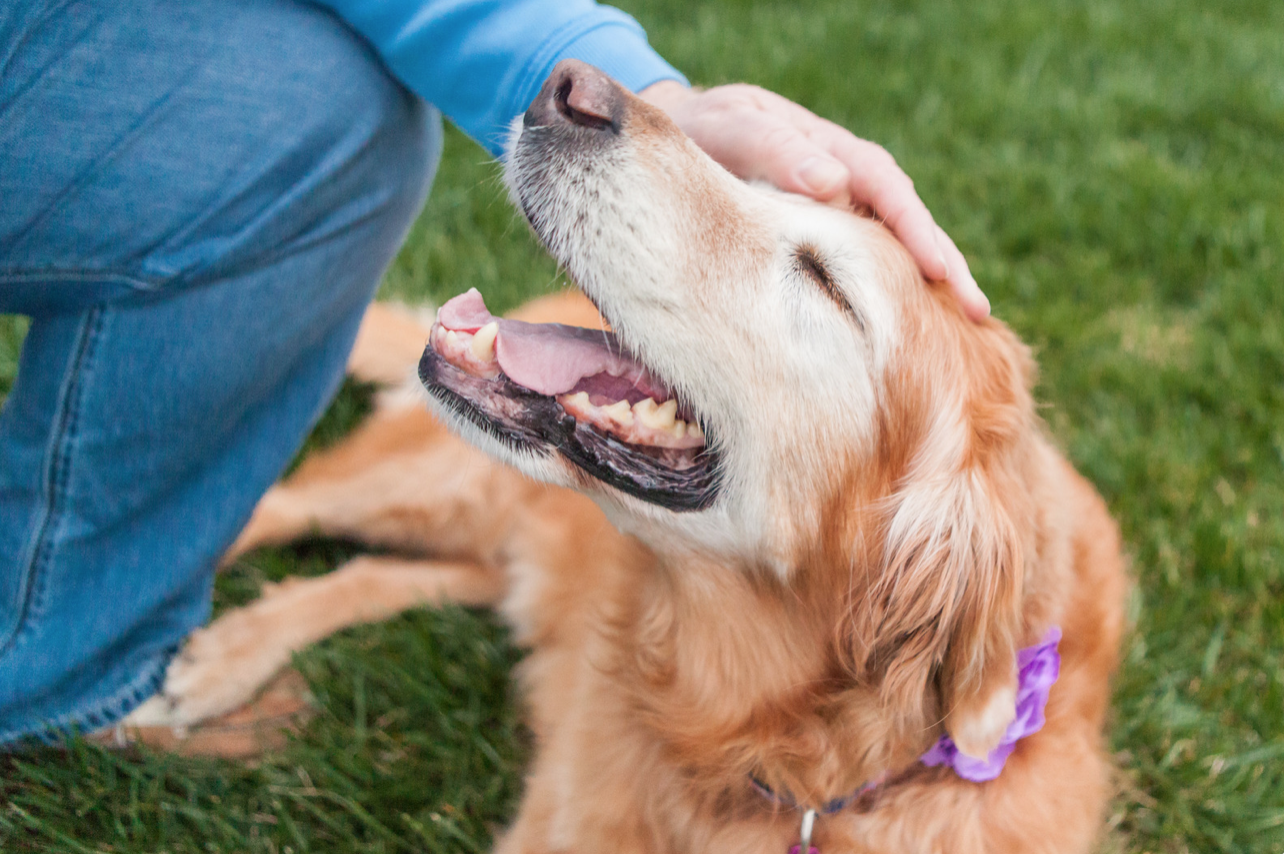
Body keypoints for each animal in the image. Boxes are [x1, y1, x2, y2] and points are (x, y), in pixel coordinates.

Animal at [127, 61, 1124, 852]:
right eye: (763, 182)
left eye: (825, 281)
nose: (569, 87)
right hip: (440, 483)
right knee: (265, 507)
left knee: (382, 572)